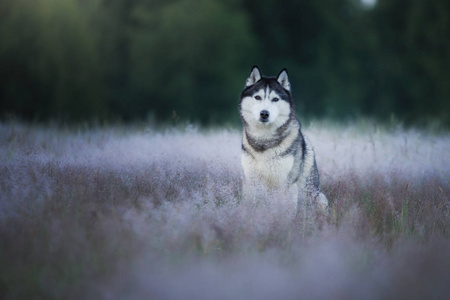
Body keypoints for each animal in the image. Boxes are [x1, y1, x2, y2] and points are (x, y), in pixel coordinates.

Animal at [239, 65, 326, 211]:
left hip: (320, 198)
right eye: (257, 97)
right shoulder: (250, 182)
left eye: (275, 99)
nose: (264, 114)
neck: (264, 141)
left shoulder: (286, 184)